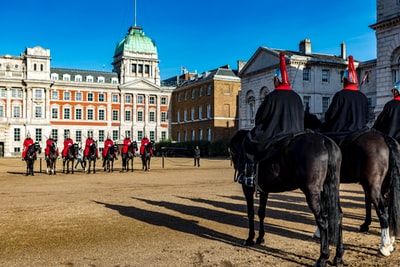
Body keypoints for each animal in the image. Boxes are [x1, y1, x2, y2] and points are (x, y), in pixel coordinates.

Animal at [230, 129, 342, 266]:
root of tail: (324, 141)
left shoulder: (247, 188)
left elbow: (250, 213)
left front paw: (250, 238)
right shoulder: (263, 191)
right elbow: (261, 213)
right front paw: (260, 237)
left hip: (312, 192)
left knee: (323, 220)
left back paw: (322, 257)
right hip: (330, 189)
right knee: (338, 216)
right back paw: (338, 256)